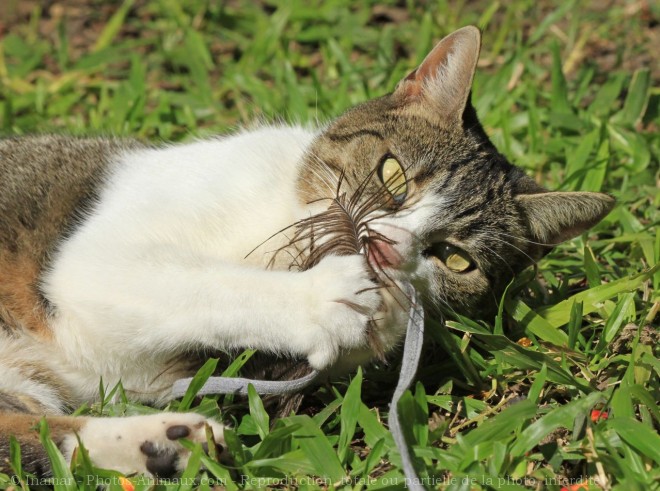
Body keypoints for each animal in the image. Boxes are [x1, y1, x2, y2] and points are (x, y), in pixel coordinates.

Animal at [0, 25, 612, 478]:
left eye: (455, 258)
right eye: (392, 174)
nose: (387, 246)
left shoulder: (145, 370)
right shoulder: (97, 263)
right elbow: (202, 281)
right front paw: (322, 300)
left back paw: (166, 445)